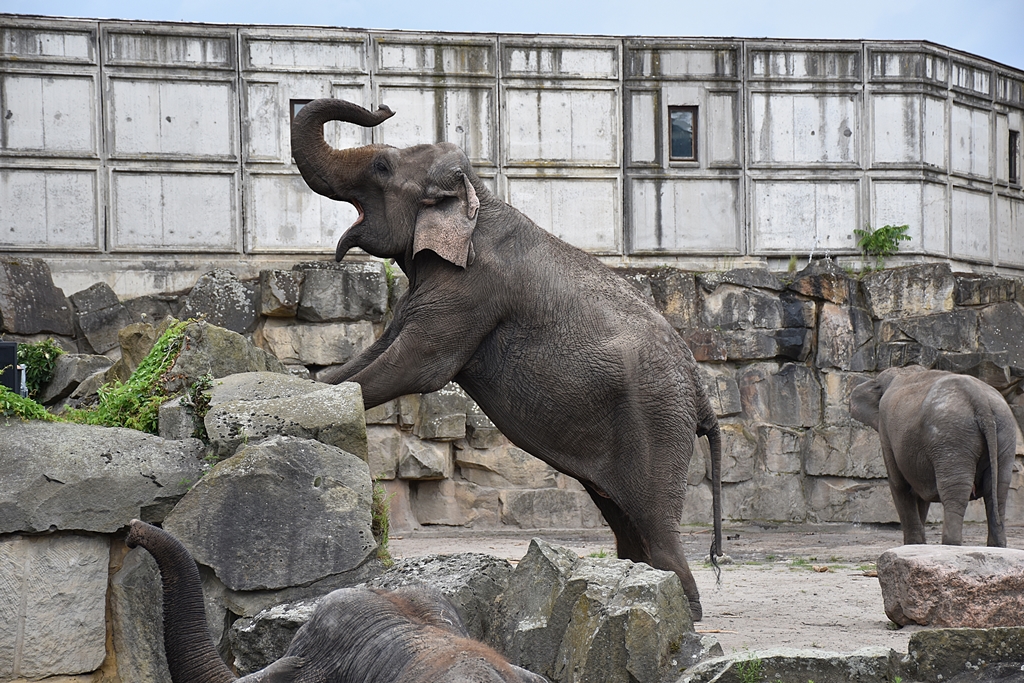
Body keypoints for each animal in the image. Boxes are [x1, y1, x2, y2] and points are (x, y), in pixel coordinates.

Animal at [290, 98, 723, 620]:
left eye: (382, 167)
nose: (384, 107)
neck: (477, 195)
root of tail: (702, 393)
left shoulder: (472, 291)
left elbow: (417, 366)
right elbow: (372, 355)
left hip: (656, 419)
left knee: (654, 524)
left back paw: (682, 617)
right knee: (624, 519)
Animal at [849, 366, 1016, 547]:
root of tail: (980, 400)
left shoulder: (886, 430)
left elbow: (899, 483)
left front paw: (913, 545)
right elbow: (919, 492)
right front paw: (919, 545)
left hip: (951, 437)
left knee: (955, 489)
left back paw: (950, 544)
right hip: (1004, 431)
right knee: (998, 490)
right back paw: (997, 545)